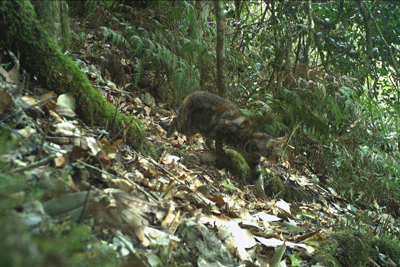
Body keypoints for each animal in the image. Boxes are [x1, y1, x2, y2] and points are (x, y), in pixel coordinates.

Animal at [160, 92, 288, 199]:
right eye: (280, 156)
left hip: (204, 128)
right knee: (175, 121)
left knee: (205, 138)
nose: (281, 162)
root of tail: (191, 94)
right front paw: (221, 151)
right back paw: (168, 132)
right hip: (189, 127)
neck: (252, 141)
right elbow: (219, 142)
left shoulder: (254, 163)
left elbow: (258, 181)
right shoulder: (223, 126)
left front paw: (264, 198)